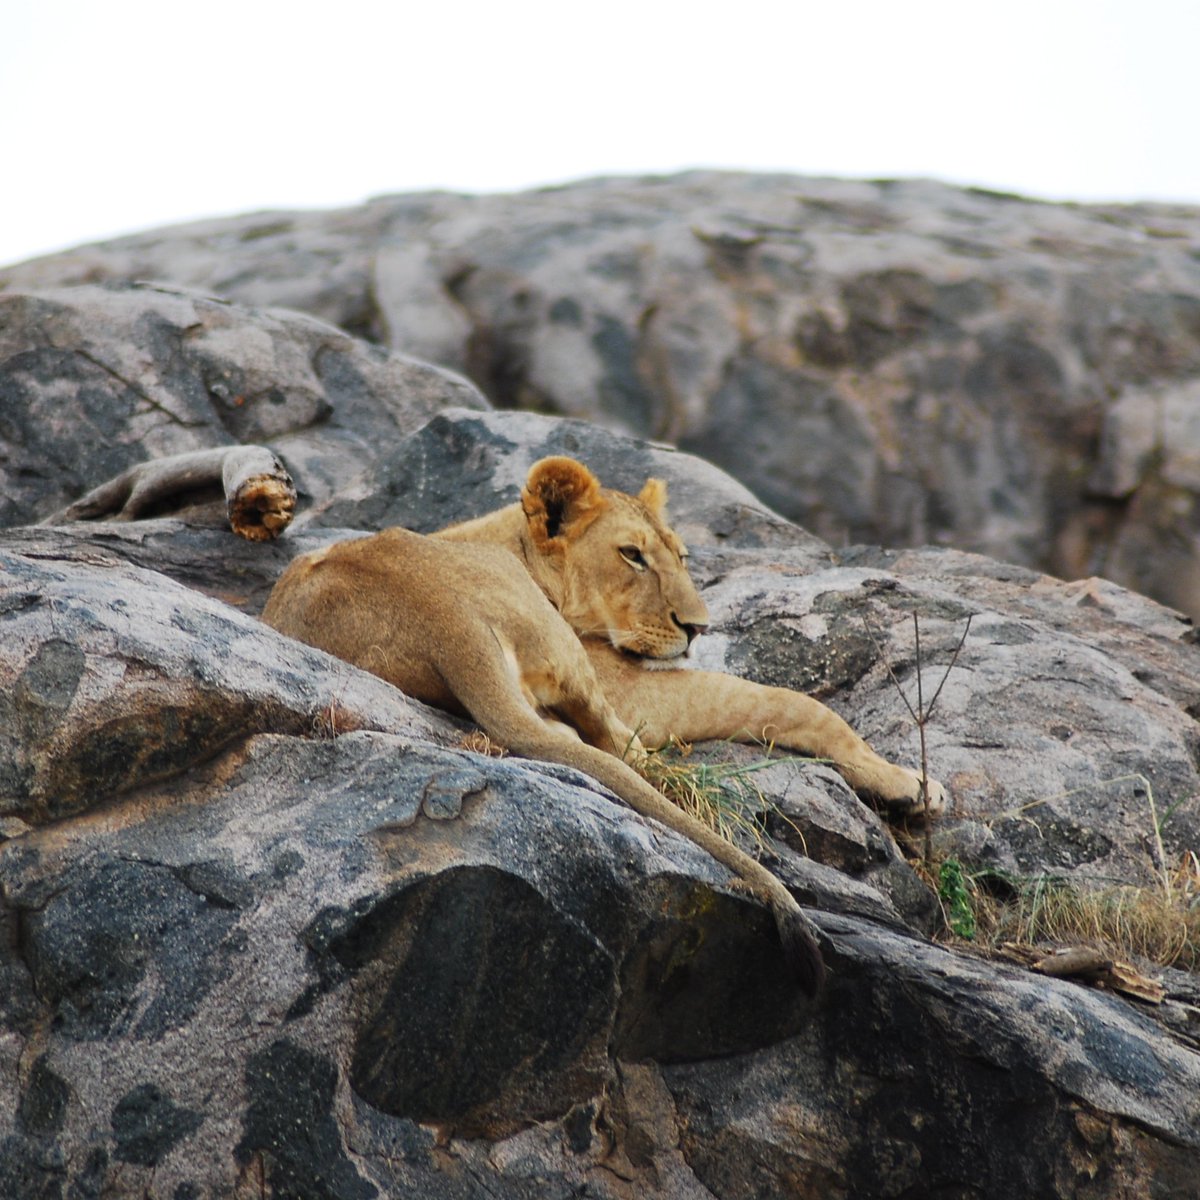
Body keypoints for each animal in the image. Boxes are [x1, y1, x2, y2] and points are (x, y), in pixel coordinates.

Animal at [260, 453, 945, 988]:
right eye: (632, 556)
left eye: (680, 557)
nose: (699, 628)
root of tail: (441, 618)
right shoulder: (630, 688)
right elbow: (795, 702)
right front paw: (910, 785)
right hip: (575, 669)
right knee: (631, 755)